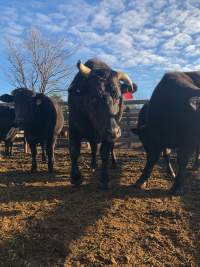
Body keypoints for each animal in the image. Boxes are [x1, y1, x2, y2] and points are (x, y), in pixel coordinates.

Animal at [68, 58, 137, 188]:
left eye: (118, 96)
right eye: (93, 98)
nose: (114, 131)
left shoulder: (108, 135)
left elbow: (105, 152)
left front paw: (105, 178)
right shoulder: (74, 127)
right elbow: (74, 150)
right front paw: (75, 177)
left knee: (111, 148)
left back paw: (114, 163)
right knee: (94, 147)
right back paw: (93, 165)